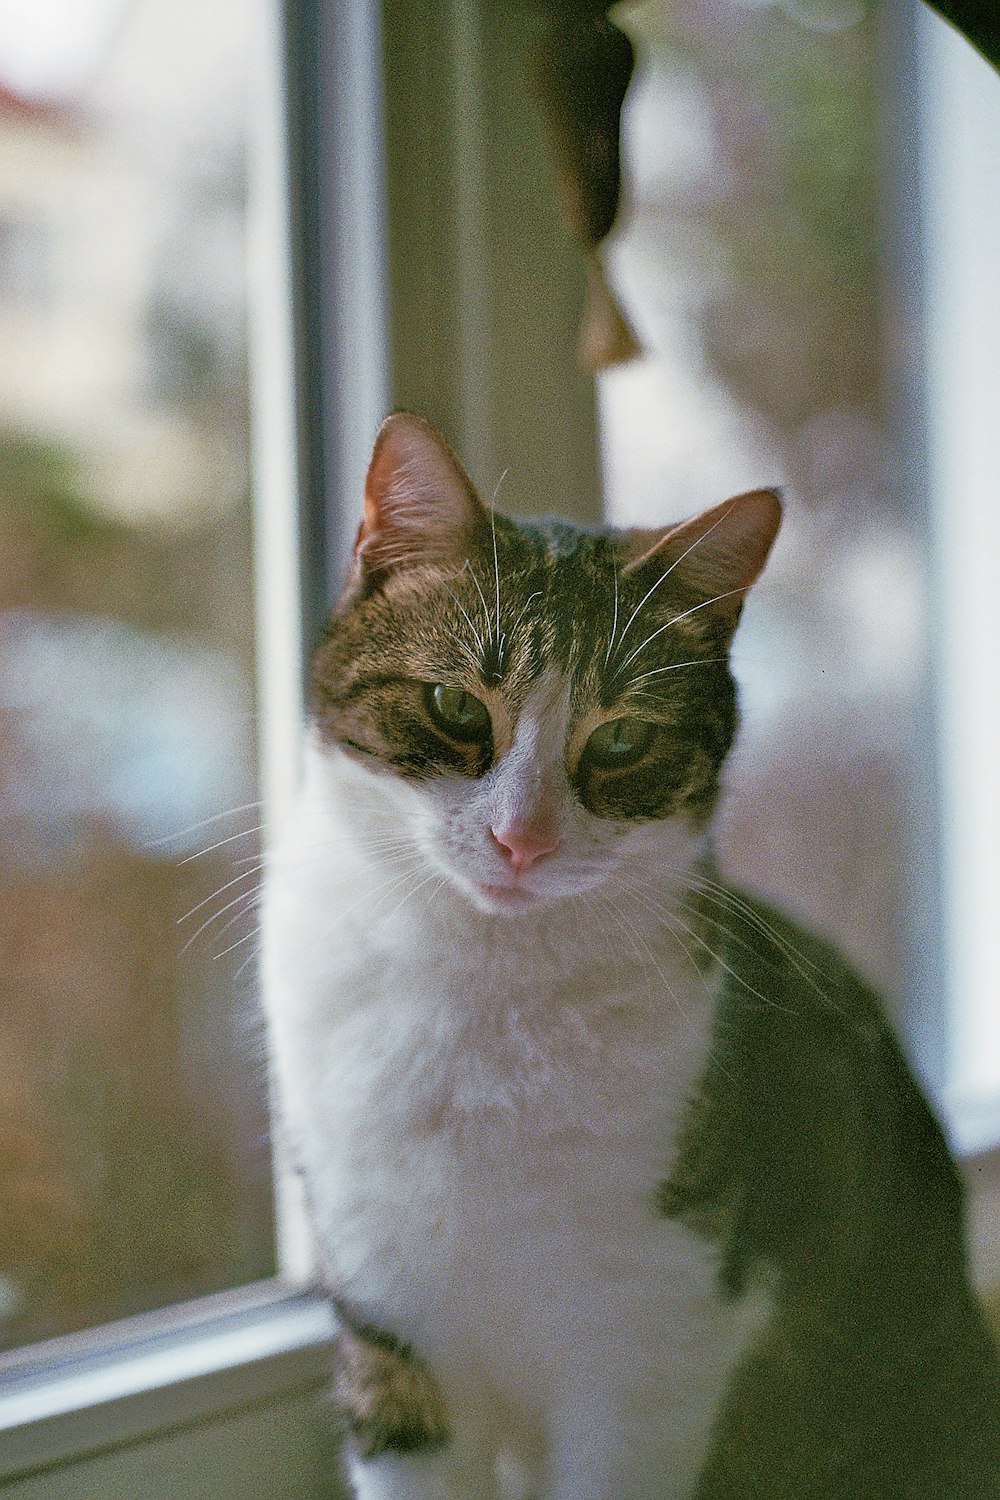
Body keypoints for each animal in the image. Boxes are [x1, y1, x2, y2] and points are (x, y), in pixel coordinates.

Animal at [260, 414, 1000, 1500]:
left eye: (621, 743)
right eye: (453, 706)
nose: (519, 840)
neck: (484, 980)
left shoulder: (653, 1341)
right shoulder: (392, 1327)